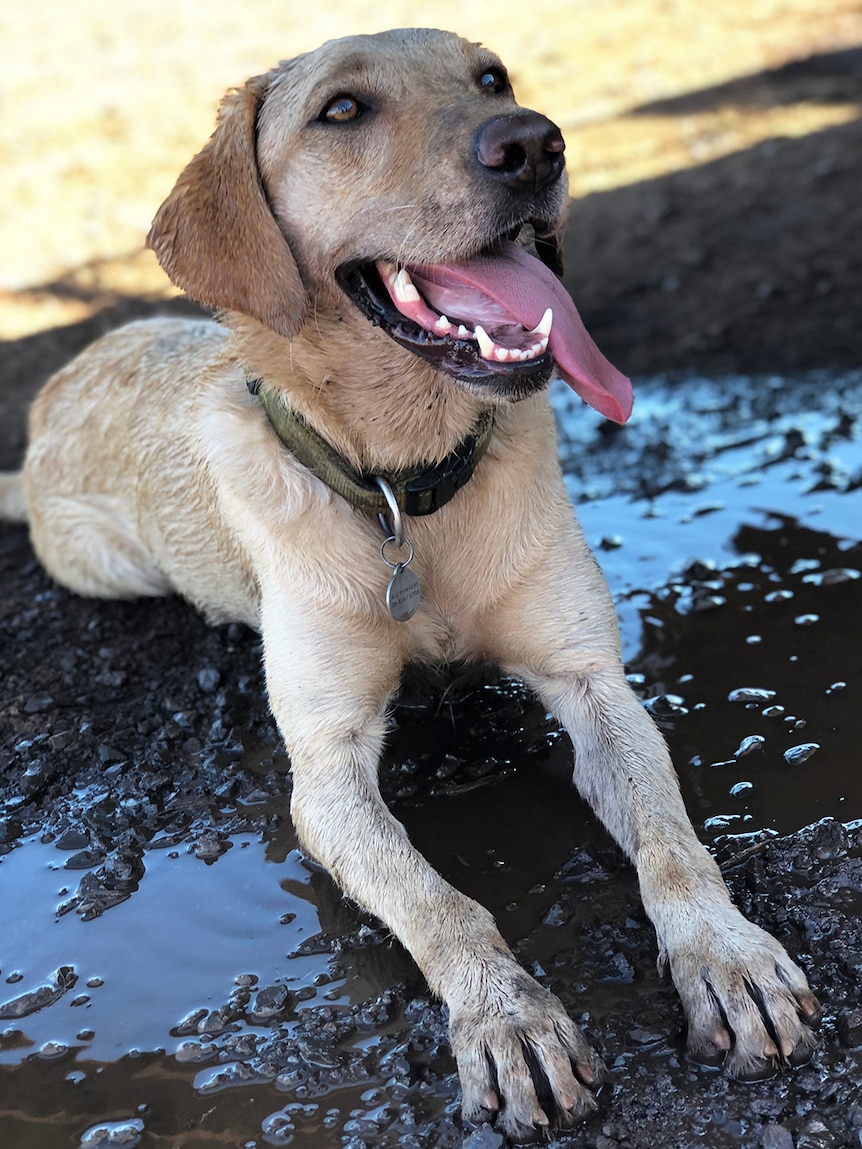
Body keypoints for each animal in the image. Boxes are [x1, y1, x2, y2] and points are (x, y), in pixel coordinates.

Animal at [1, 27, 822, 1139]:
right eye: (342, 111)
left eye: (492, 77)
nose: (535, 143)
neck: (406, 488)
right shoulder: (327, 772)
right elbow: (437, 901)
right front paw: (506, 1016)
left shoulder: (593, 683)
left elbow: (670, 842)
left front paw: (726, 955)